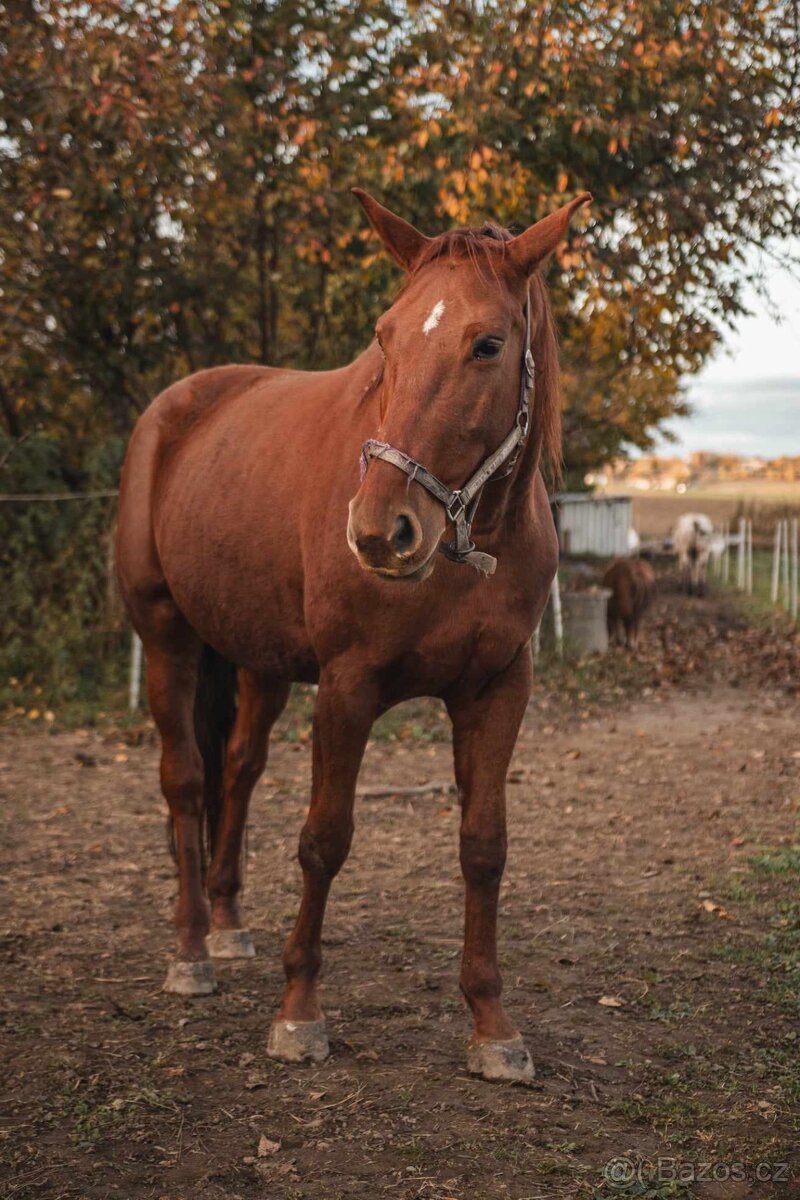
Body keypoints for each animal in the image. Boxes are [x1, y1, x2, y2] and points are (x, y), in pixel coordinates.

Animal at [120, 184, 594, 1080]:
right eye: (386, 337)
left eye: (487, 344)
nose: (380, 531)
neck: (468, 547)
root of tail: (174, 408)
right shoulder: (348, 687)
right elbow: (324, 839)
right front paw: (299, 1013)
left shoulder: (499, 689)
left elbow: (484, 845)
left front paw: (493, 1025)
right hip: (166, 636)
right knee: (187, 782)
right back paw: (191, 951)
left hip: (259, 661)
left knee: (239, 770)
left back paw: (228, 928)